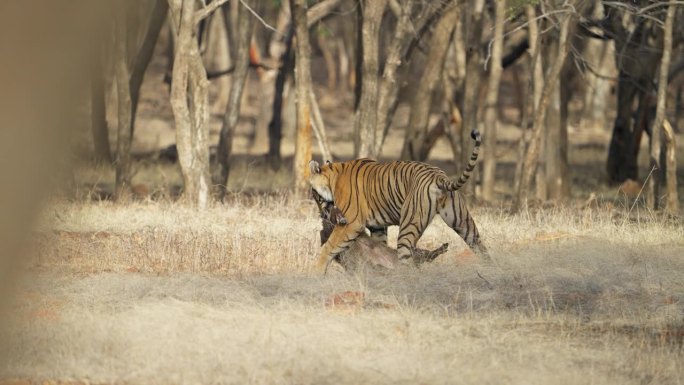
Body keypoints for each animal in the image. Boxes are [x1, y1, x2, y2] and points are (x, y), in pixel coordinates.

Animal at [310, 127, 486, 268]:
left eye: (317, 198)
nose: (322, 215)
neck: (334, 178)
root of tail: (438, 176)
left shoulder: (351, 223)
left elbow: (329, 247)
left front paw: (316, 272)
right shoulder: (378, 228)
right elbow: (380, 247)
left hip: (408, 226)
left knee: (407, 259)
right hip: (462, 222)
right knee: (480, 245)